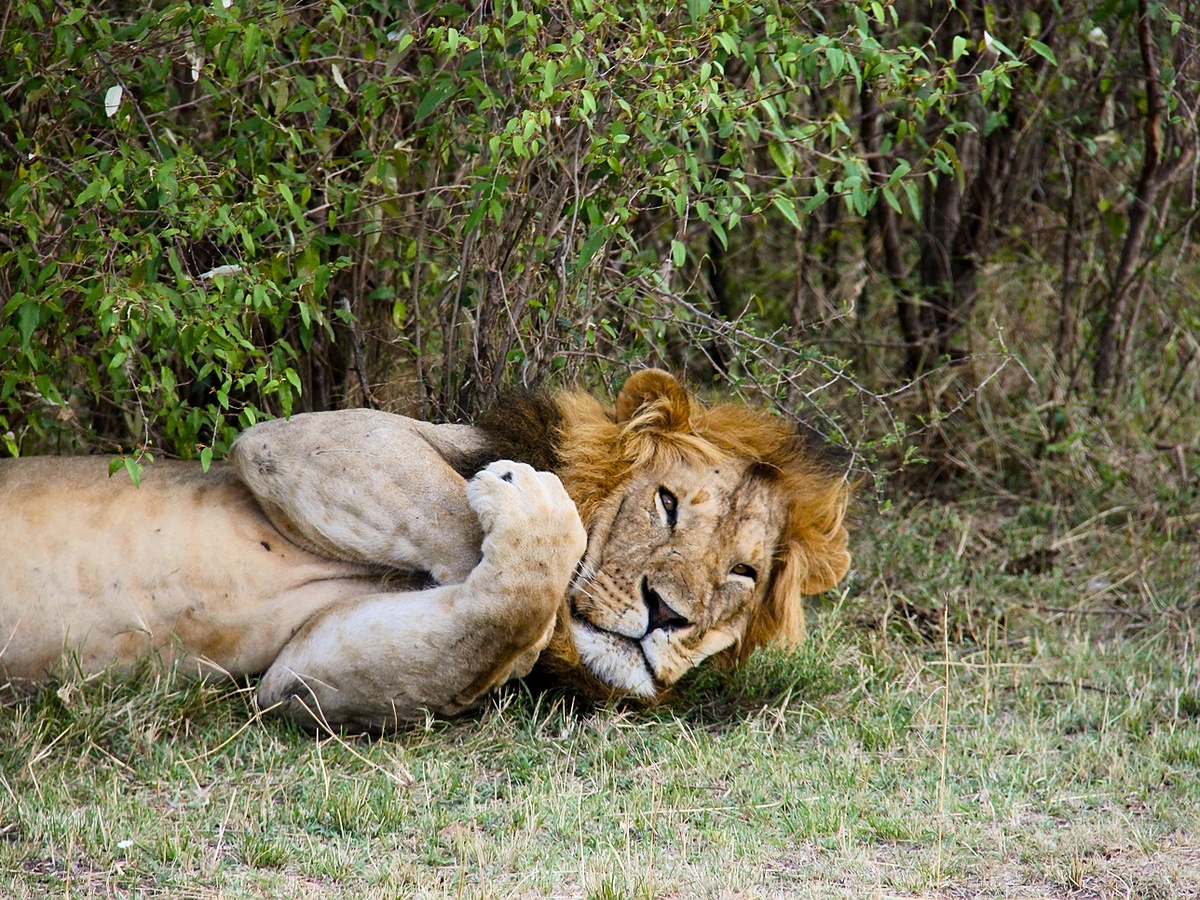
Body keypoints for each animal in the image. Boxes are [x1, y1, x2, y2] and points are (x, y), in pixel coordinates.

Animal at [0, 370, 850, 732]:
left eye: (741, 573)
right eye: (667, 505)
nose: (667, 615)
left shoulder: (302, 675)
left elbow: (497, 615)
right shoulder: (299, 440)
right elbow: (482, 536)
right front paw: (525, 498)